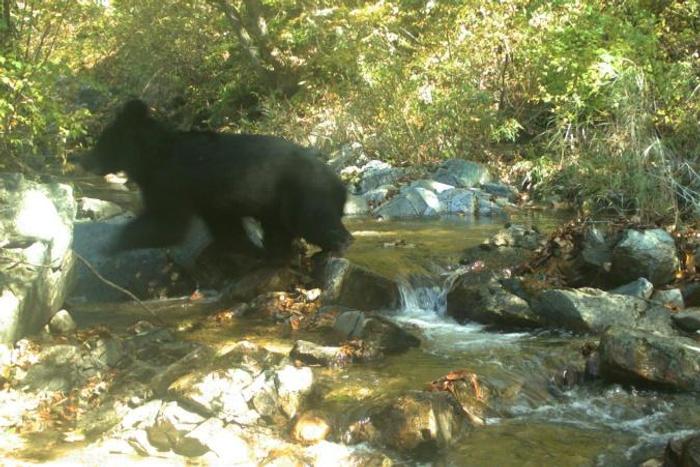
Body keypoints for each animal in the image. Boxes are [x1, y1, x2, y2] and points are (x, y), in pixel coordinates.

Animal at [80, 99, 353, 262]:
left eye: (101, 144)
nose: (83, 161)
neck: (152, 158)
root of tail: (340, 184)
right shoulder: (210, 201)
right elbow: (224, 226)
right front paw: (236, 247)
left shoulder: (171, 182)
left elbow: (166, 224)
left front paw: (110, 244)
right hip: (276, 204)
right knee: (280, 230)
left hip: (303, 194)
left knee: (314, 221)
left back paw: (337, 245)